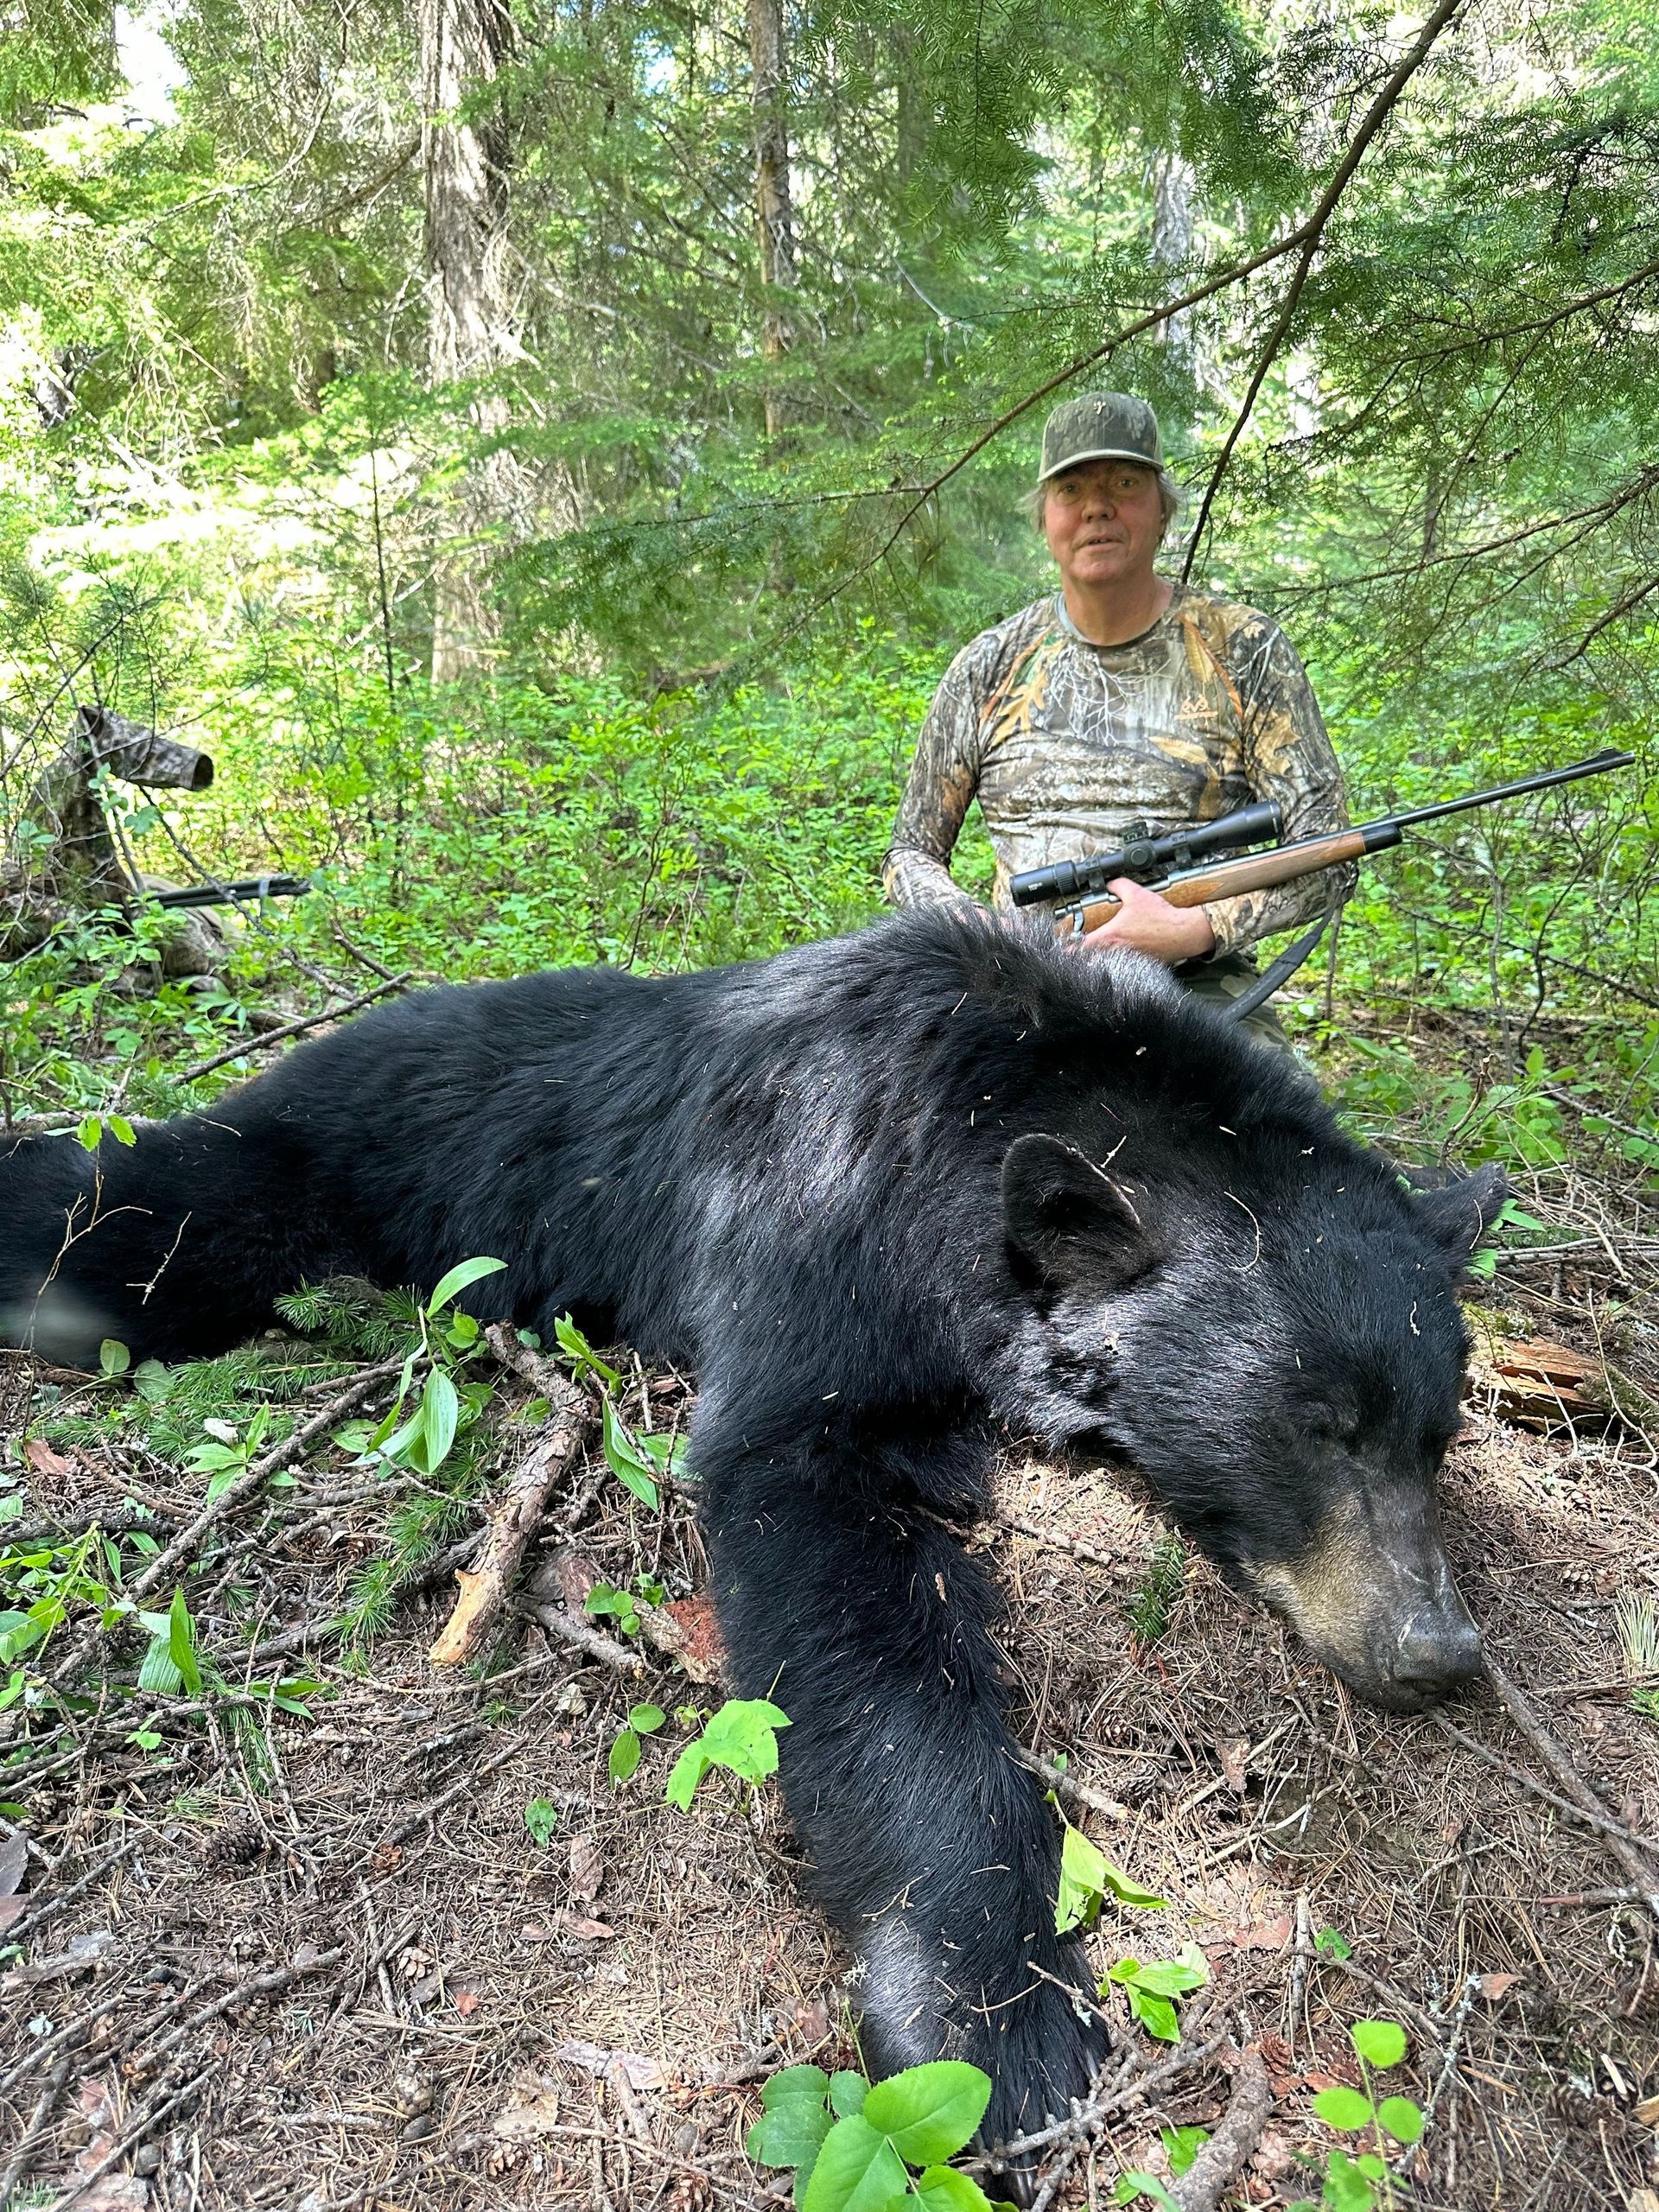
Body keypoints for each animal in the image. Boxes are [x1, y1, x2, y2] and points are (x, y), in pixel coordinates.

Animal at [0, 911, 1501, 2160]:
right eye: (1321, 1428)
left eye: (1436, 1432)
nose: (1439, 1652)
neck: (992, 1108)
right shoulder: (826, 1217)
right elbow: (828, 1561)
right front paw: (985, 2015)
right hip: (353, 1150)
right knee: (156, 1205)